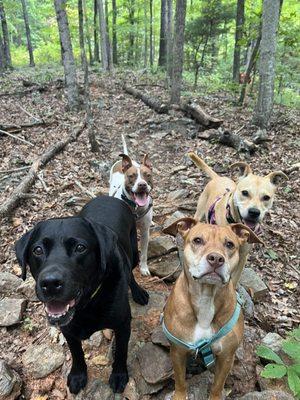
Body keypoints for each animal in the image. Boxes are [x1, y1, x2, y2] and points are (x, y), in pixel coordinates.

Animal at [15, 196, 149, 394]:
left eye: (80, 247)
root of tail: (110, 197)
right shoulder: (68, 329)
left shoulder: (123, 325)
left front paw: (119, 375)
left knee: (131, 271)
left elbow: (121, 351)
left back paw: (138, 292)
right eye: (37, 250)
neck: (87, 304)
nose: (50, 283)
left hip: (133, 251)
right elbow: (76, 352)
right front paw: (78, 375)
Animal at [109, 136, 154, 276]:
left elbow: (144, 253)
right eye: (131, 176)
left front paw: (144, 268)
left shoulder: (145, 232)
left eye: (147, 175)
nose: (142, 185)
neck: (135, 208)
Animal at [188, 152, 288, 286]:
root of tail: (218, 178)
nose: (254, 212)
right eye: (245, 193)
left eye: (266, 197)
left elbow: (234, 279)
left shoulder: (242, 257)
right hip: (199, 211)